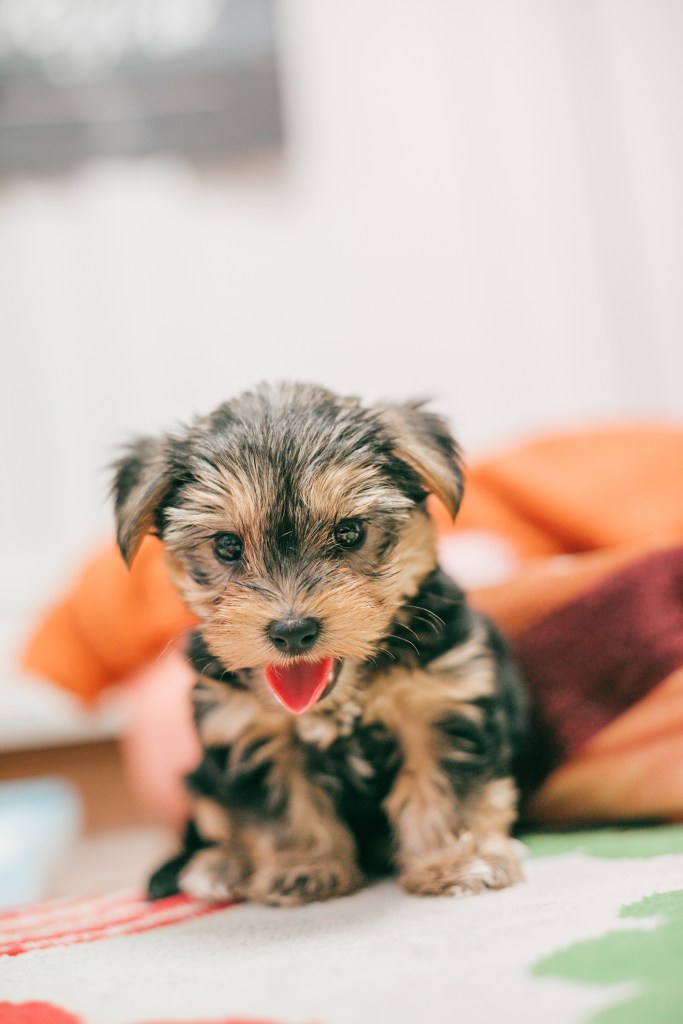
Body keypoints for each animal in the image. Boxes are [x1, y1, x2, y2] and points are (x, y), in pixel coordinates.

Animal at [114, 382, 528, 905]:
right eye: (227, 546)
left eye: (349, 533)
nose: (292, 630)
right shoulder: (250, 729)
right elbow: (286, 811)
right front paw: (305, 870)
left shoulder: (439, 703)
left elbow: (445, 787)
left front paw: (457, 859)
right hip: (200, 780)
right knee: (213, 819)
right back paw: (219, 865)